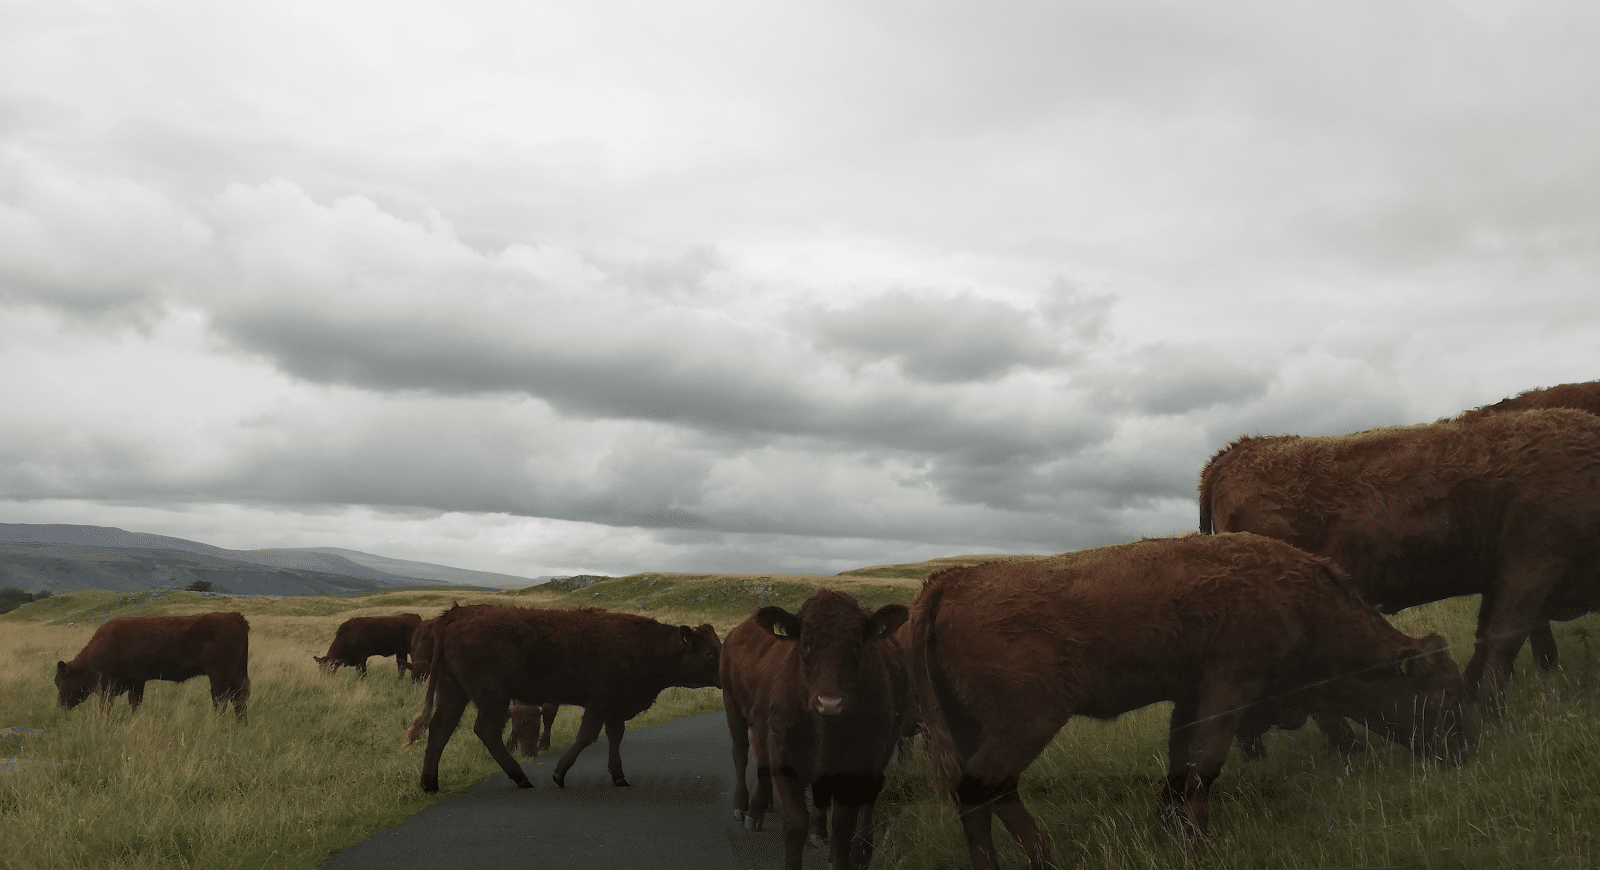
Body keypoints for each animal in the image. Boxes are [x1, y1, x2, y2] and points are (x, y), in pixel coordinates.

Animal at [55, 612, 251, 722]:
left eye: (60, 681)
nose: (60, 706)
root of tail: (233, 616)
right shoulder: (136, 682)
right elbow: (135, 703)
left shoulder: (108, 686)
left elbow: (108, 706)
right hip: (236, 674)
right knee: (239, 699)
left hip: (219, 676)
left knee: (222, 700)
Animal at [406, 604, 721, 792]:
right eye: (708, 652)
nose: (725, 673)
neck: (649, 645)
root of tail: (458, 613)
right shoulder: (600, 703)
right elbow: (587, 736)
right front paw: (559, 774)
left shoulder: (615, 707)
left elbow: (615, 736)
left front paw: (618, 776)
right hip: (492, 697)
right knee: (484, 731)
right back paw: (521, 777)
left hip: (454, 691)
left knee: (440, 728)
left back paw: (429, 783)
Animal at [722, 589, 909, 870]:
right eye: (806, 644)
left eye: (856, 644)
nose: (829, 702)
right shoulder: (784, 756)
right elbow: (794, 823)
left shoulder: (858, 763)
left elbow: (842, 825)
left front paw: (843, 856)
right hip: (733, 704)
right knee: (741, 753)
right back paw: (745, 808)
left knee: (866, 800)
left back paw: (857, 848)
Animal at [910, 534, 1474, 870]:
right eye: (1446, 691)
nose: (1465, 752)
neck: (1301, 601)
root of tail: (951, 581)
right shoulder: (1231, 684)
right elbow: (1205, 762)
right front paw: (1198, 844)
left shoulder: (1190, 694)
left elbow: (1179, 764)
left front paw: (1168, 831)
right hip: (1028, 723)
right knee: (986, 784)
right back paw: (1045, 857)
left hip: (974, 727)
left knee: (977, 794)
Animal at [1199, 409, 1600, 713]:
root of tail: (1236, 452)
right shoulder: (1532, 567)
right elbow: (1506, 638)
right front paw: (1490, 708)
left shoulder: (1501, 578)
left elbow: (1485, 637)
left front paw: (1470, 696)